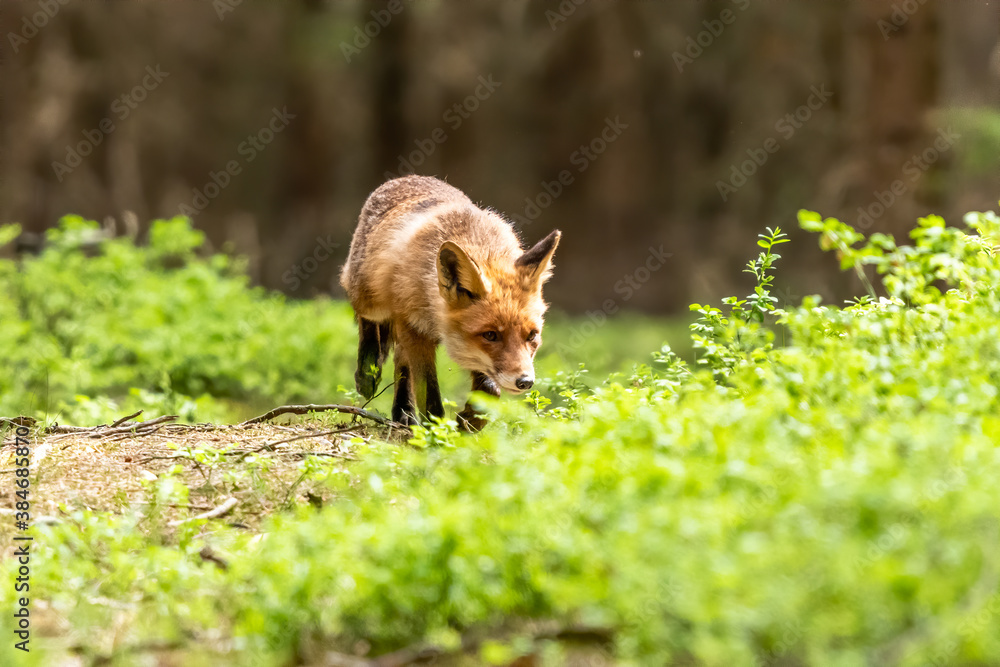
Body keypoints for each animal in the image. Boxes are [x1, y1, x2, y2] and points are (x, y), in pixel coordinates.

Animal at [342, 175, 564, 430]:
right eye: (490, 335)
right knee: (368, 322)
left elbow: (489, 389)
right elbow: (430, 397)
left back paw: (403, 412)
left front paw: (469, 420)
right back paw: (368, 373)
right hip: (370, 298)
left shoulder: (466, 350)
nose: (525, 381)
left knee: (400, 360)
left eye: (532, 336)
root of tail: (408, 177)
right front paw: (437, 434)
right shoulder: (417, 331)